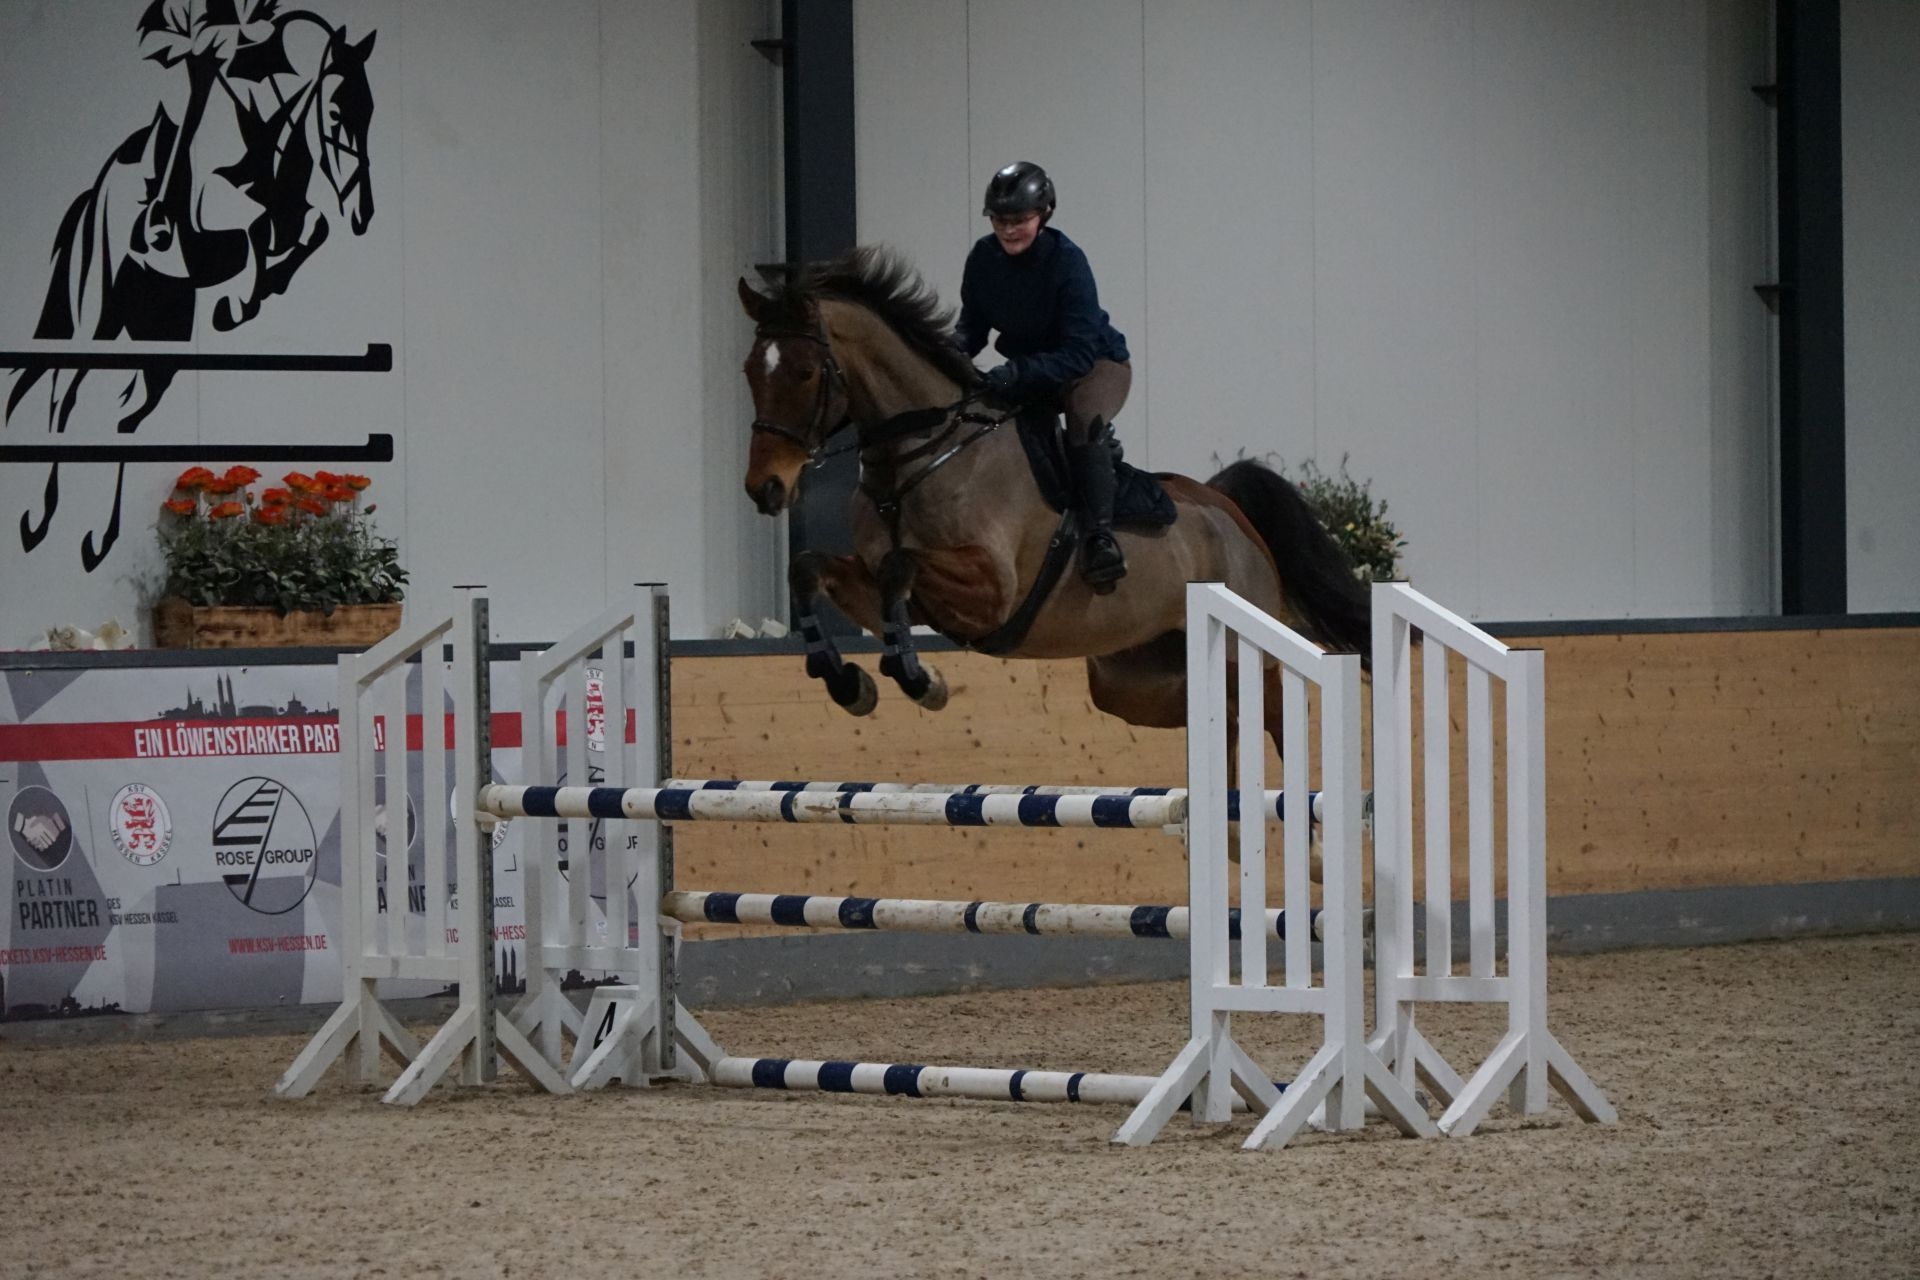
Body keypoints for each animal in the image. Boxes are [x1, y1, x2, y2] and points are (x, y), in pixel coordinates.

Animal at [4, 10, 376, 570]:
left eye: (369, 110)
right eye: (334, 112)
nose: (364, 213)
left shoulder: (290, 219)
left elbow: (309, 229)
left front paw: (251, 296)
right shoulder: (215, 222)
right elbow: (251, 235)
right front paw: (238, 302)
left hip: (161, 339)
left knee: (124, 420)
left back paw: (96, 535)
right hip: (99, 316)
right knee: (62, 399)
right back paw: (41, 519)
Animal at [735, 246, 1372, 754]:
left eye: (804, 372)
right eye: (749, 370)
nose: (765, 487)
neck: (919, 456)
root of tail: (1230, 513)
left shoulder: (991, 590)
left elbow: (899, 565)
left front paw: (920, 680)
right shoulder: (887, 595)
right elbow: (810, 569)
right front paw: (851, 683)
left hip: (1249, 650)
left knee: (1274, 713)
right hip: (1130, 677)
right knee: (1225, 716)